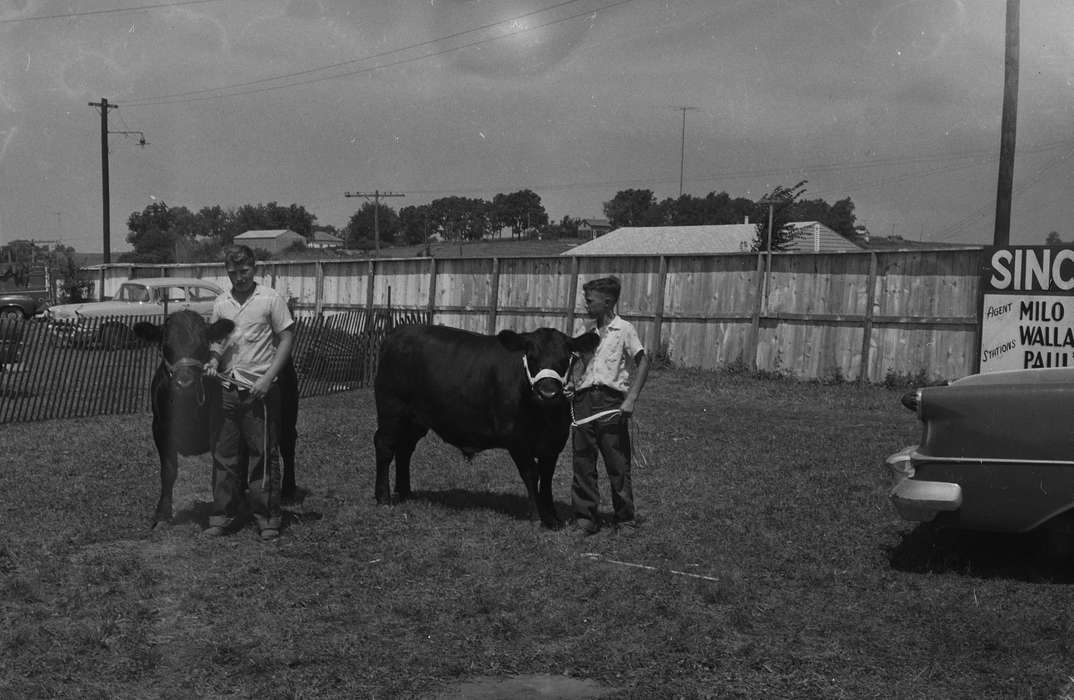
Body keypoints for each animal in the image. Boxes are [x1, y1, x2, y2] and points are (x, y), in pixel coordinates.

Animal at [133, 310, 299, 527]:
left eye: (204, 345)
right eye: (166, 345)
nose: (184, 383)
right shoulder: (160, 428)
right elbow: (169, 471)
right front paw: (162, 515)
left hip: (288, 411)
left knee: (288, 444)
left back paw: (288, 490)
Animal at [373, 324, 600, 529]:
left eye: (565, 358)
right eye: (531, 356)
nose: (548, 392)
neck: (544, 416)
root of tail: (397, 333)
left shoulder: (554, 442)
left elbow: (546, 479)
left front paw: (552, 518)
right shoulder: (517, 440)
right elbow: (531, 474)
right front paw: (537, 516)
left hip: (415, 419)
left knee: (404, 449)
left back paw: (405, 492)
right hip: (391, 409)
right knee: (384, 446)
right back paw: (383, 497)